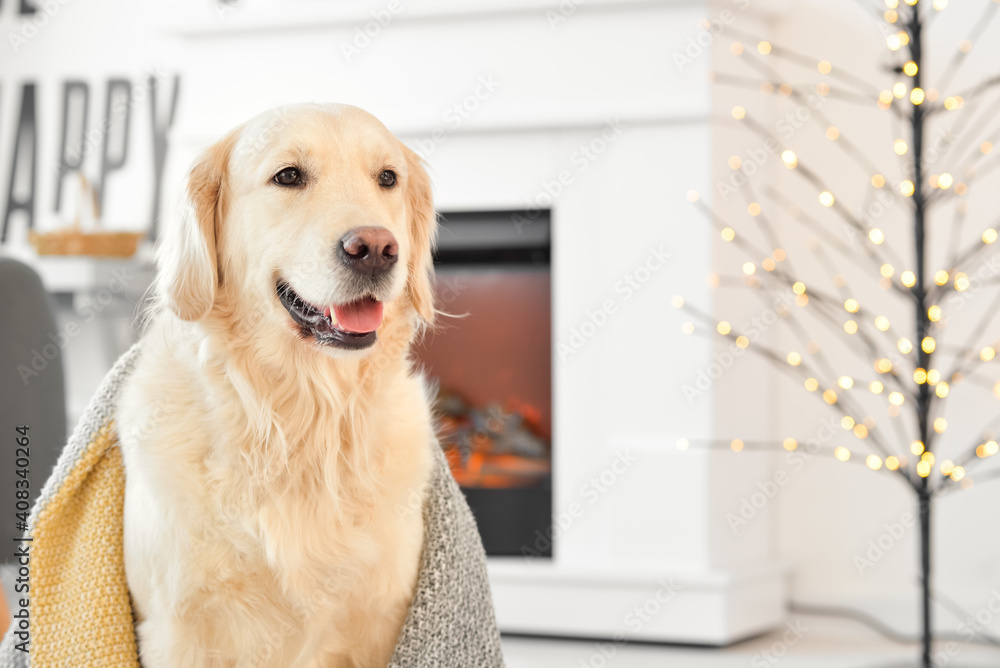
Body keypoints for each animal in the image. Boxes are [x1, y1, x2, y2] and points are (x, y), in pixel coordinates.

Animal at [117, 104, 438, 668]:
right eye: (288, 176)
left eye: (387, 178)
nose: (377, 249)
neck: (301, 417)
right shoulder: (173, 629)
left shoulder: (383, 618)